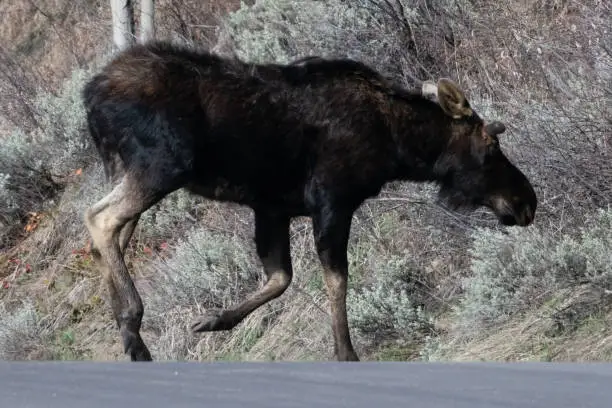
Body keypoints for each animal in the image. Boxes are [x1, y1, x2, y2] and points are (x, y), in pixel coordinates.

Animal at [81, 40, 536, 360]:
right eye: (491, 146)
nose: (525, 201)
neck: (398, 146)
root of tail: (91, 94)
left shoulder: (272, 207)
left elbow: (280, 277)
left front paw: (214, 320)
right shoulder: (332, 200)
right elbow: (337, 279)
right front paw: (346, 352)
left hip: (126, 168)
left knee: (110, 238)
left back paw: (126, 328)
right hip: (163, 165)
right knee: (99, 219)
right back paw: (133, 326)